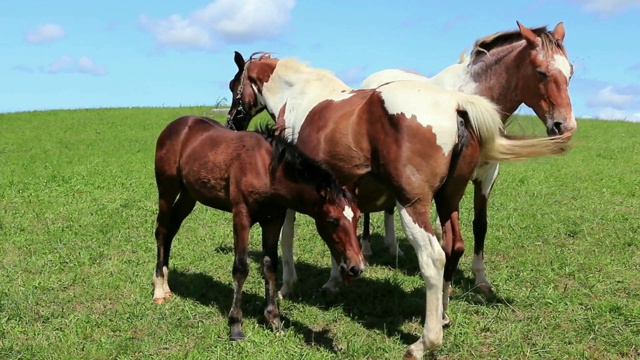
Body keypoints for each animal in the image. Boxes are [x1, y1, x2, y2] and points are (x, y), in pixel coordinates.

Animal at [151, 115, 368, 340]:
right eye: (332, 220)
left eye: (358, 217)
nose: (356, 267)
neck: (267, 171)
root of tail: (177, 124)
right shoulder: (241, 216)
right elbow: (241, 267)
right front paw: (236, 325)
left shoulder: (273, 221)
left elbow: (270, 266)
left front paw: (274, 320)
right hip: (167, 189)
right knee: (162, 230)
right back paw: (159, 289)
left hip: (189, 195)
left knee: (172, 229)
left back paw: (166, 284)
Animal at [225, 51, 568, 358]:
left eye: (233, 84)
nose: (232, 123)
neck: (298, 94)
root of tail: (455, 104)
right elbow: (337, 242)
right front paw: (334, 281)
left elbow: (287, 240)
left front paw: (287, 287)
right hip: (448, 201)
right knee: (453, 246)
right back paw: (443, 315)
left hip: (412, 206)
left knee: (433, 258)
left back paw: (425, 342)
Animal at [358, 21, 576, 294]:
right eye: (540, 72)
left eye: (570, 73)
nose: (564, 126)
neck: (474, 100)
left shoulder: (486, 176)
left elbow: (480, 225)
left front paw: (481, 279)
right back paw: (366, 248)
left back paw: (393, 247)